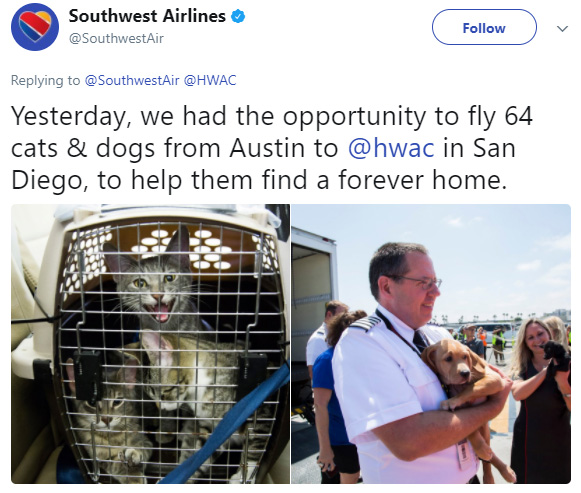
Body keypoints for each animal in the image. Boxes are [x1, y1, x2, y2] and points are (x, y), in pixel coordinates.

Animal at [140, 328, 272, 482]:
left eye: (164, 394)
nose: (160, 408)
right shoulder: (212, 428)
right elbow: (198, 458)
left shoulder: (261, 413)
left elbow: (254, 447)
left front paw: (243, 477)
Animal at [424, 338, 516, 484]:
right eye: (448, 358)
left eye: (465, 356)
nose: (466, 373)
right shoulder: (462, 411)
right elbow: (471, 431)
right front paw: (481, 448)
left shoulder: (494, 378)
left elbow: (471, 388)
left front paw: (451, 401)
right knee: (488, 453)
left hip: (485, 430)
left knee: (489, 458)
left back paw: (500, 473)